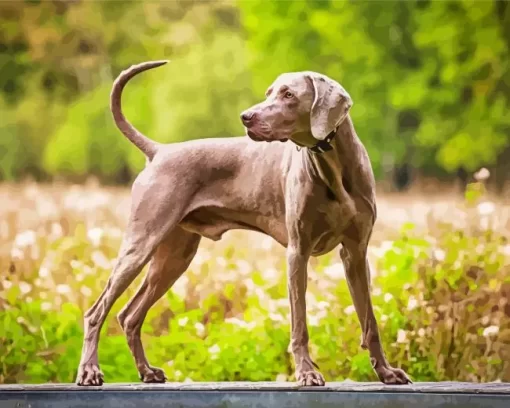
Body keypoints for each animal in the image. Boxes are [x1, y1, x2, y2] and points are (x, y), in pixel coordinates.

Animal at [74, 59, 410, 386]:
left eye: (288, 94)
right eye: (269, 92)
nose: (246, 117)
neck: (333, 165)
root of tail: (160, 151)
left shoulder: (355, 252)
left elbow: (370, 320)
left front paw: (386, 373)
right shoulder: (297, 252)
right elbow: (299, 323)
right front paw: (307, 373)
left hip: (174, 256)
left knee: (129, 316)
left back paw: (147, 371)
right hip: (141, 242)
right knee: (96, 312)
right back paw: (89, 371)